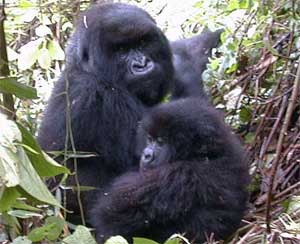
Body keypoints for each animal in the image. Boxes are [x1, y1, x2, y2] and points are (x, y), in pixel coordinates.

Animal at [90, 98, 250, 243]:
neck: (206, 155)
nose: (146, 155)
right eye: (150, 139)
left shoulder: (179, 174)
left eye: (161, 142)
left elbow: (111, 216)